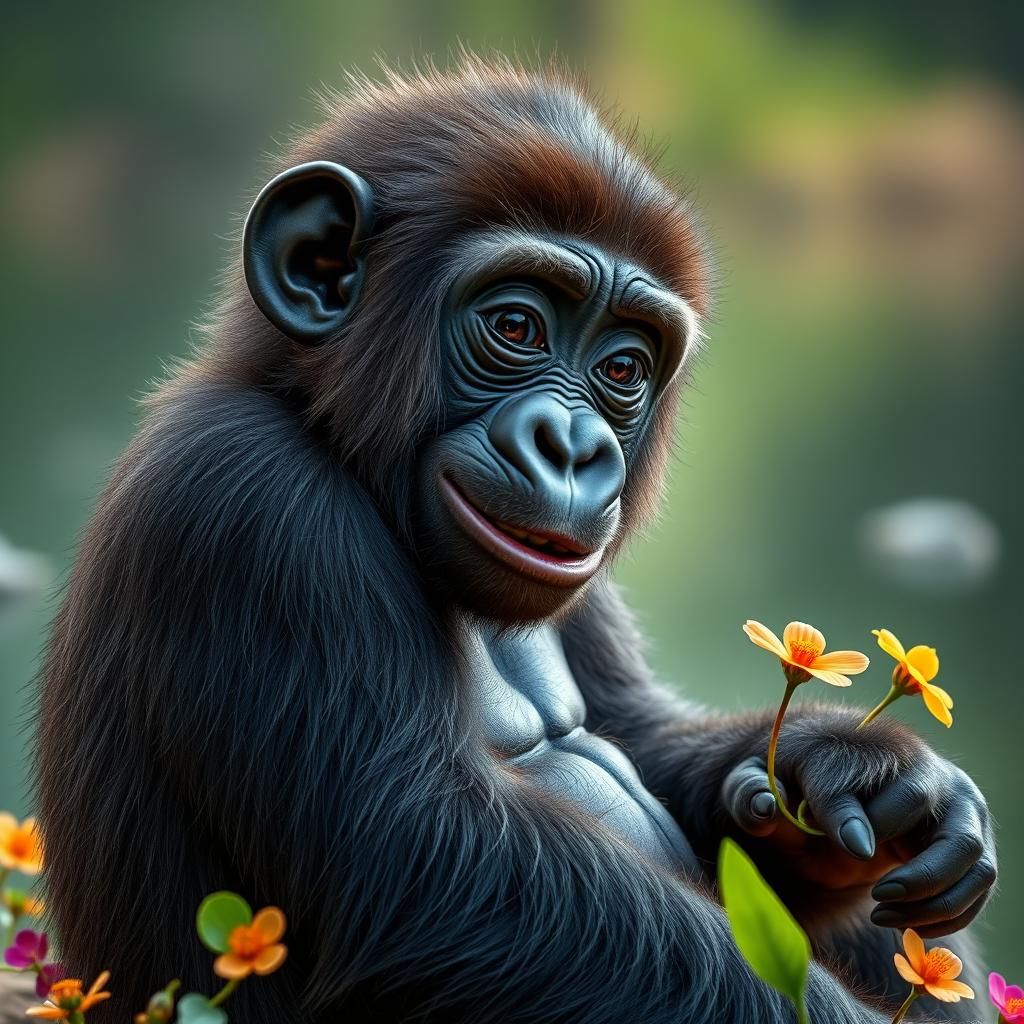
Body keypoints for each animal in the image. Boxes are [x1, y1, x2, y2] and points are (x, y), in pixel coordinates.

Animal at [35, 58, 995, 1023]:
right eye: (516, 326)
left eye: (622, 368)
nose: (572, 446)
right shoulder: (252, 506)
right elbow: (438, 876)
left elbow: (640, 733)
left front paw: (858, 771)